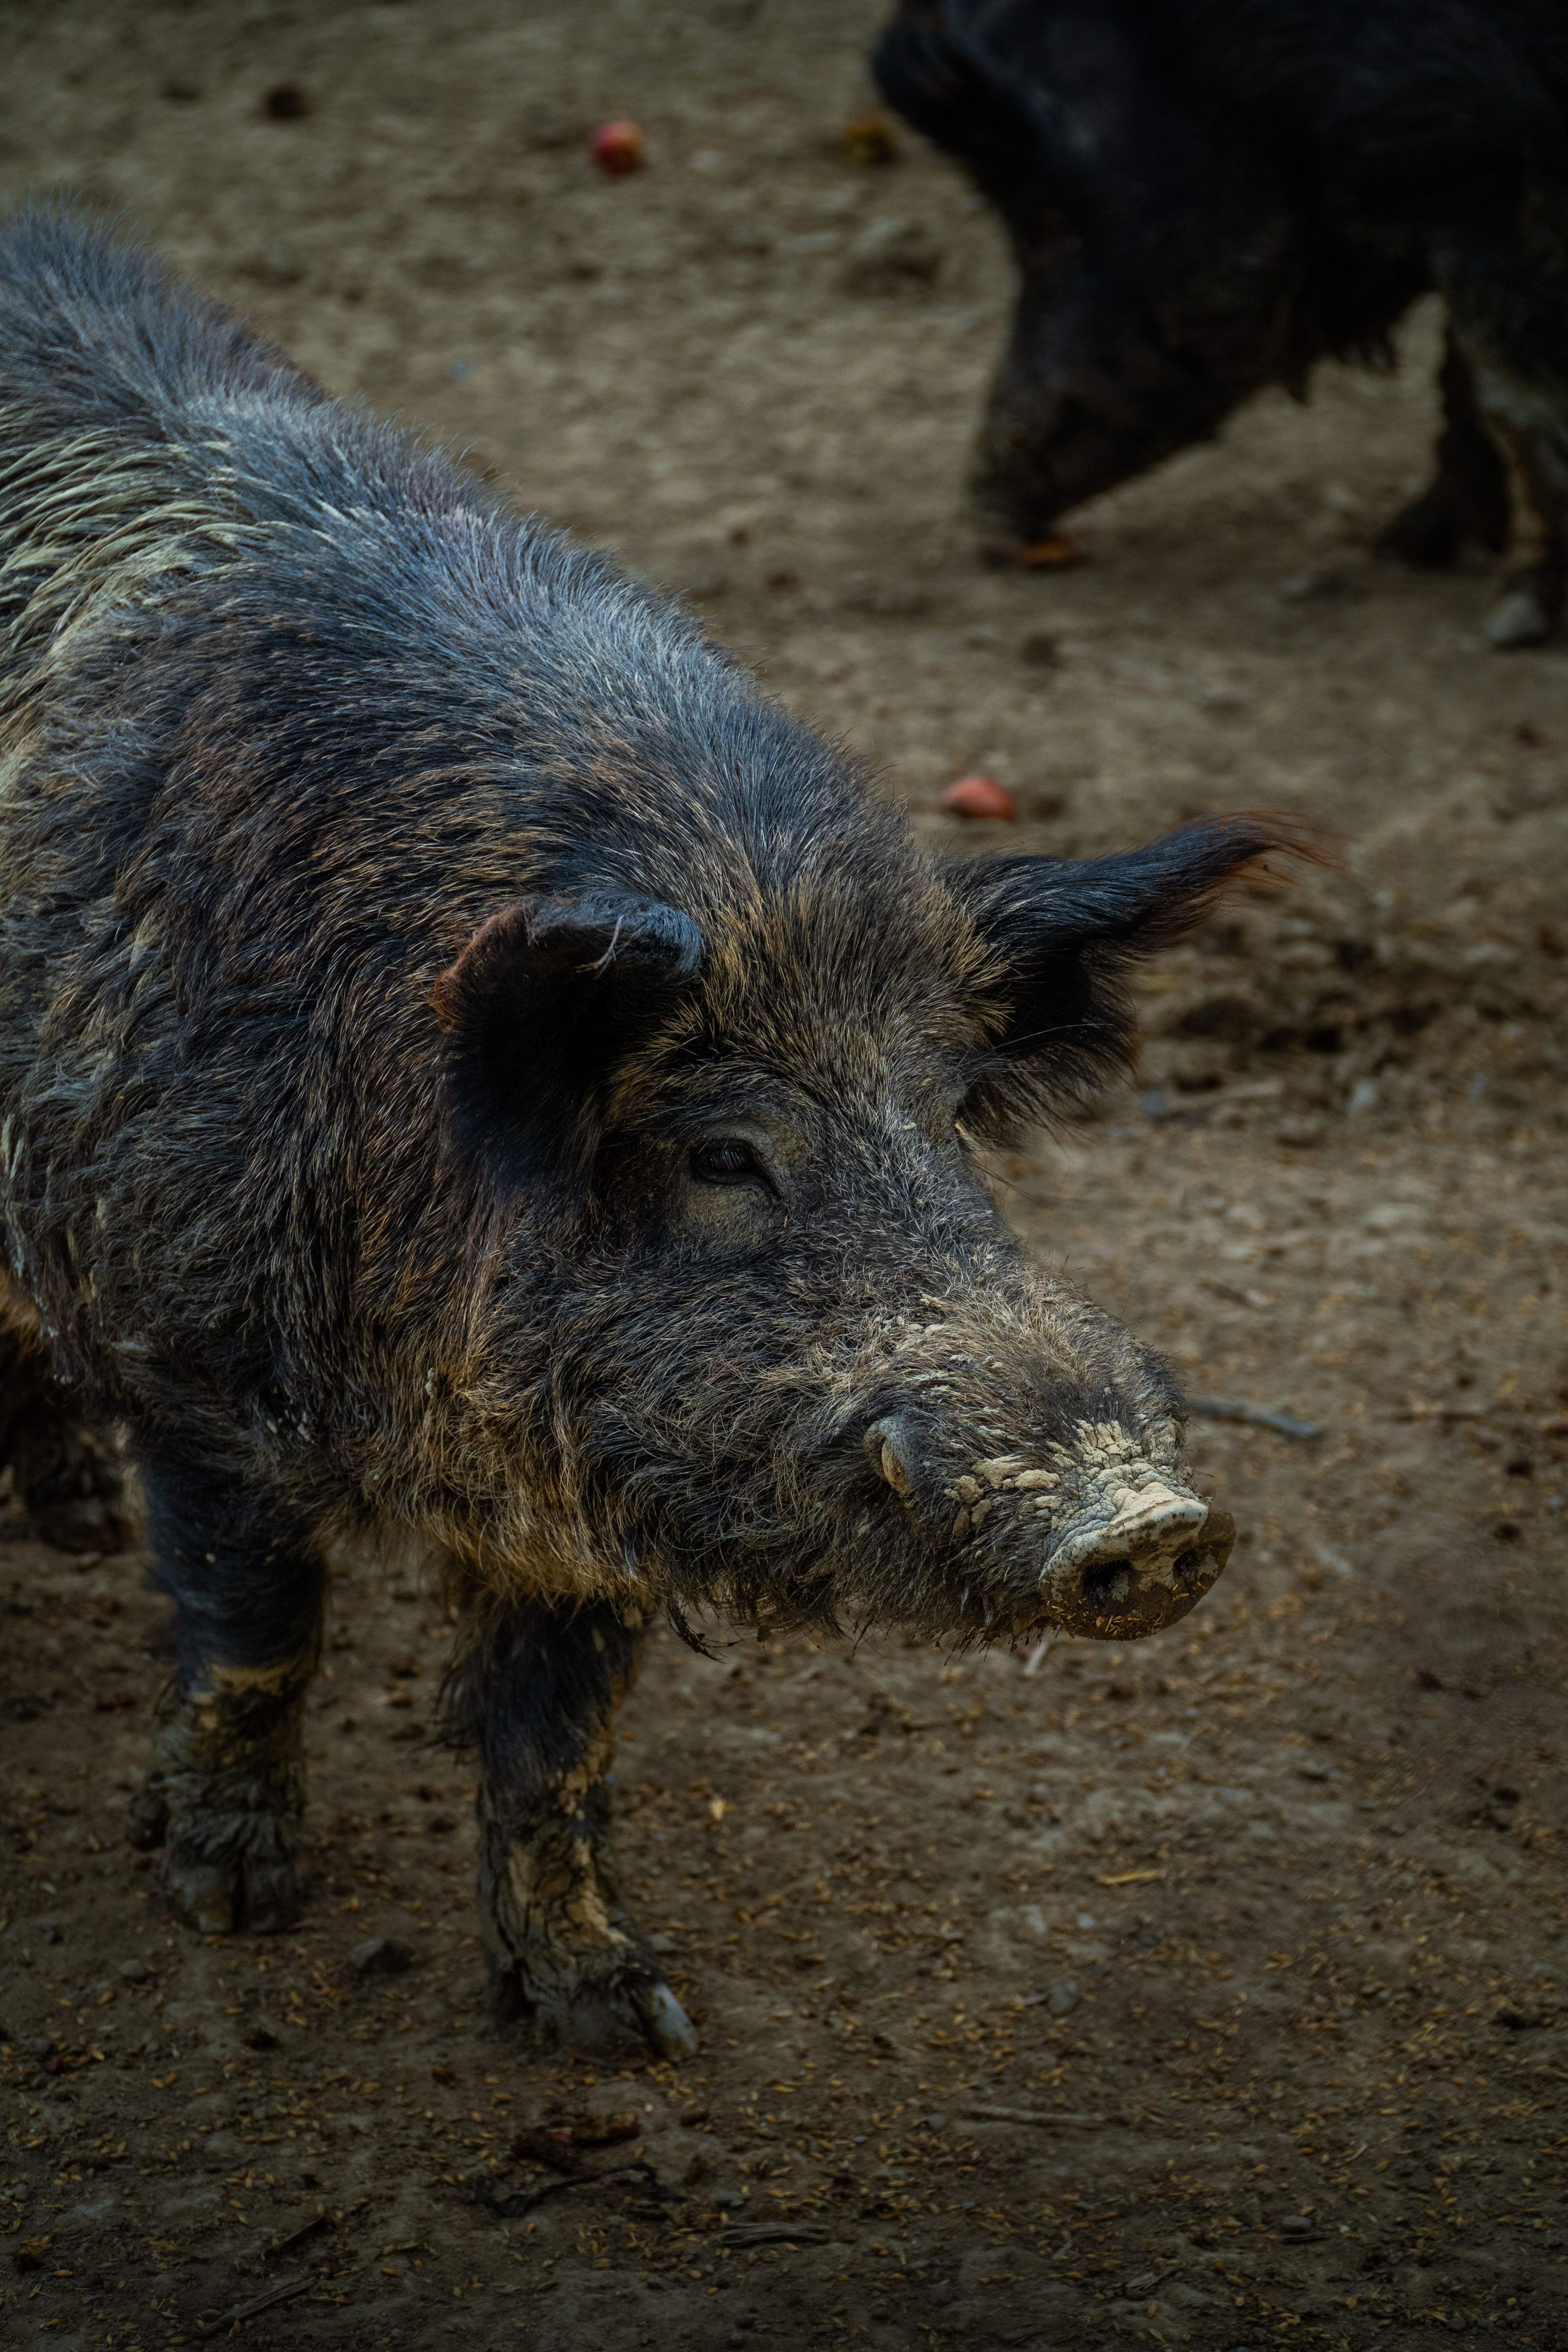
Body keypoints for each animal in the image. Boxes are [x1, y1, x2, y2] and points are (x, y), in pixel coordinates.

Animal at [0, 207, 1303, 2058]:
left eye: (949, 1118)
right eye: (719, 1153)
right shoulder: (192, 1359)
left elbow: (557, 1748)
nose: (1149, 1519)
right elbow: (258, 1639)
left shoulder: (595, 1474)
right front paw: (227, 1901)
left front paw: (621, 2017)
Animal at [874, 0, 1568, 646]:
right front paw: (1400, 548)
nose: (985, 521)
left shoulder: (1485, 163)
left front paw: (1514, 618)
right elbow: (1462, 373)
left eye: (1042, 223)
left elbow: (1511, 388)